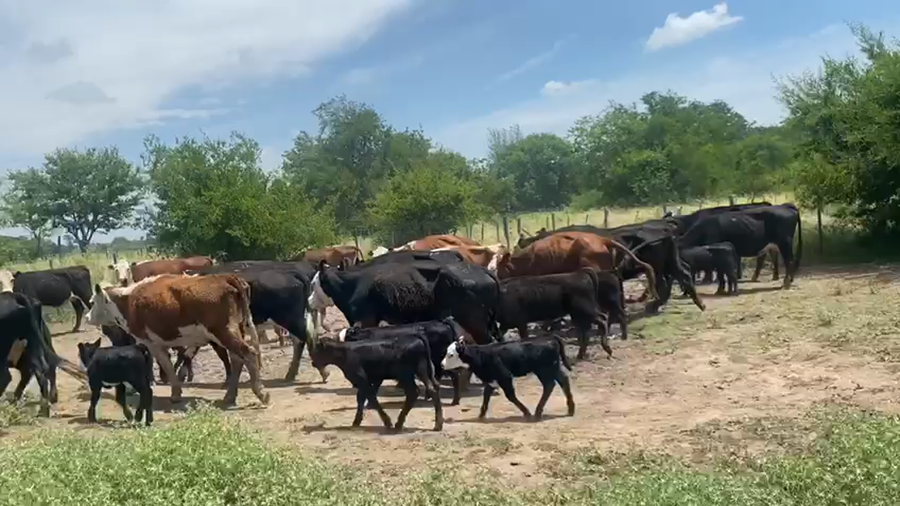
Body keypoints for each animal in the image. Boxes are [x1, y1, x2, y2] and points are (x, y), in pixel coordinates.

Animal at [85, 273, 268, 406]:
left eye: (92, 302)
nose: (86, 318)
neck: (128, 300)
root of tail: (225, 277)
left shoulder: (151, 342)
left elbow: (165, 365)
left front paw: (174, 394)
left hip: (223, 332)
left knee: (249, 354)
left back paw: (261, 393)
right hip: (235, 330)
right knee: (238, 359)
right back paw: (230, 396)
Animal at [308, 333, 444, 431]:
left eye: (317, 350)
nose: (313, 363)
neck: (345, 352)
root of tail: (415, 337)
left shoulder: (362, 379)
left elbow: (371, 397)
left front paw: (387, 421)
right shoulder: (373, 379)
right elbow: (361, 398)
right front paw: (357, 421)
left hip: (405, 375)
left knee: (413, 392)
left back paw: (399, 423)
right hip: (422, 370)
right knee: (433, 388)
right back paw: (438, 424)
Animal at [440, 335, 575, 421]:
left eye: (451, 354)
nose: (441, 365)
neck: (482, 355)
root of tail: (550, 338)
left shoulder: (505, 377)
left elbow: (510, 396)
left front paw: (526, 413)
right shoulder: (492, 380)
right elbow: (486, 395)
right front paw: (481, 415)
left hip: (544, 370)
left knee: (549, 385)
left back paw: (537, 412)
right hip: (553, 368)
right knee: (563, 380)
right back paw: (570, 409)